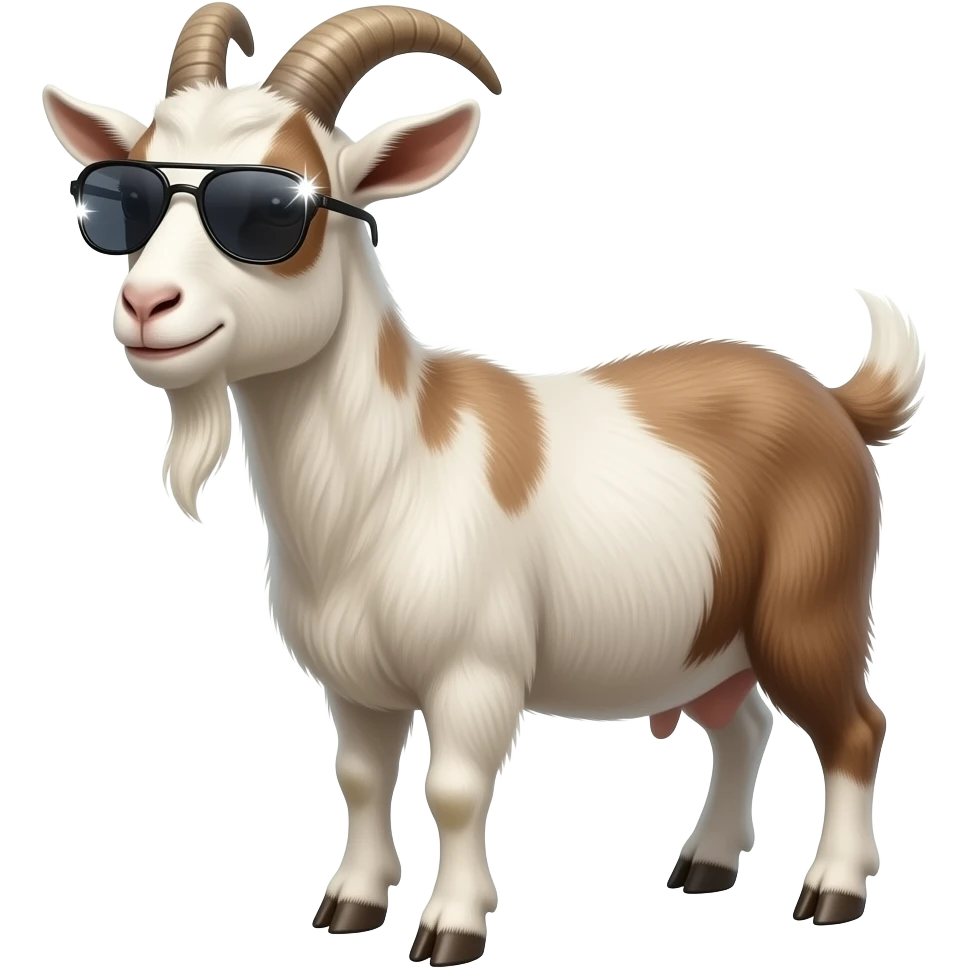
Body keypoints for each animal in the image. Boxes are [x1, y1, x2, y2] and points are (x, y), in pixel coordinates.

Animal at [43, 4, 922, 961]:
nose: (146, 306)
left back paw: (833, 889)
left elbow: (456, 788)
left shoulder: (476, 669)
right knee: (744, 726)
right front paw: (351, 905)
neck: (386, 476)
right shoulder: (354, 685)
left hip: (810, 609)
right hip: (712, 633)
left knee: (853, 730)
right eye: (124, 195)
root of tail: (835, 403)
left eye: (277, 205)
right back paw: (707, 865)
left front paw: (452, 927)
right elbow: (359, 777)